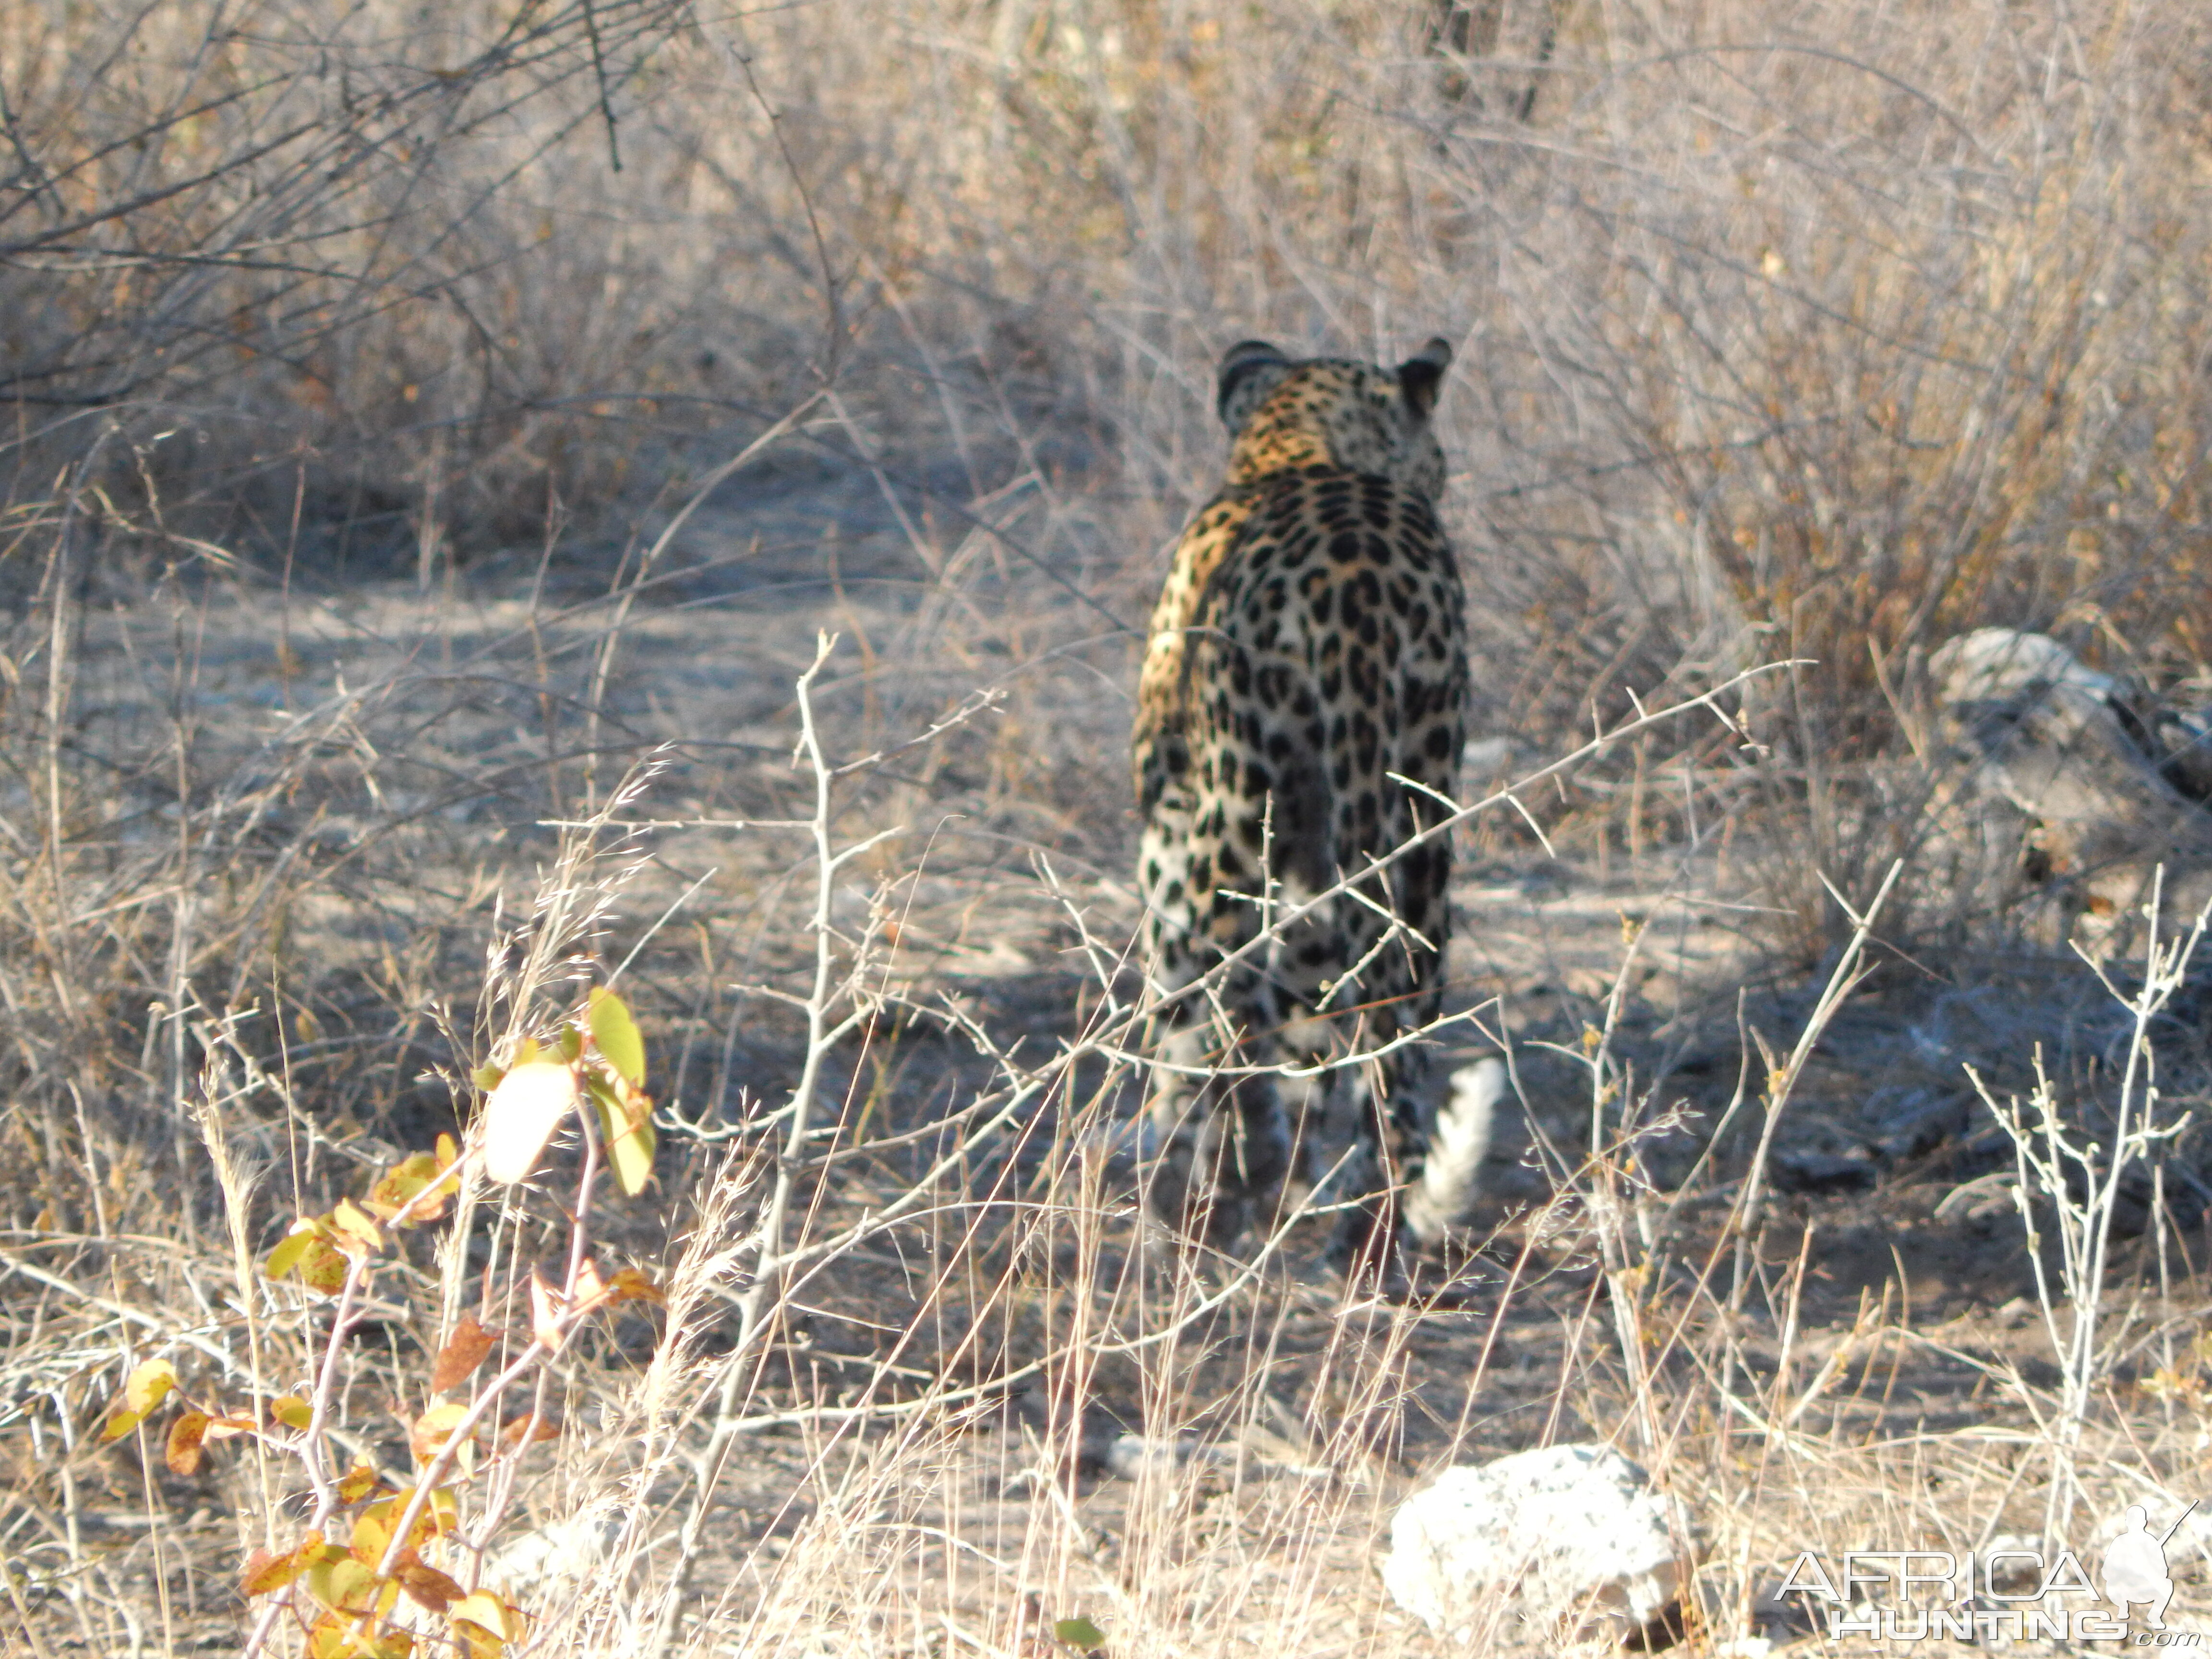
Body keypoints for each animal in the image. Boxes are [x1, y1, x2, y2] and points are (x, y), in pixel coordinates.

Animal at [1132, 334, 1495, 1274]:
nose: (1445, 474)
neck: (1297, 443)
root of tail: (1358, 605)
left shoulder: (1169, 828)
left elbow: (1186, 1009)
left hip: (1228, 820)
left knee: (1216, 1002)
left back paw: (1211, 1196)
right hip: (1421, 830)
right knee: (1393, 1026)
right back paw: (1363, 1227)